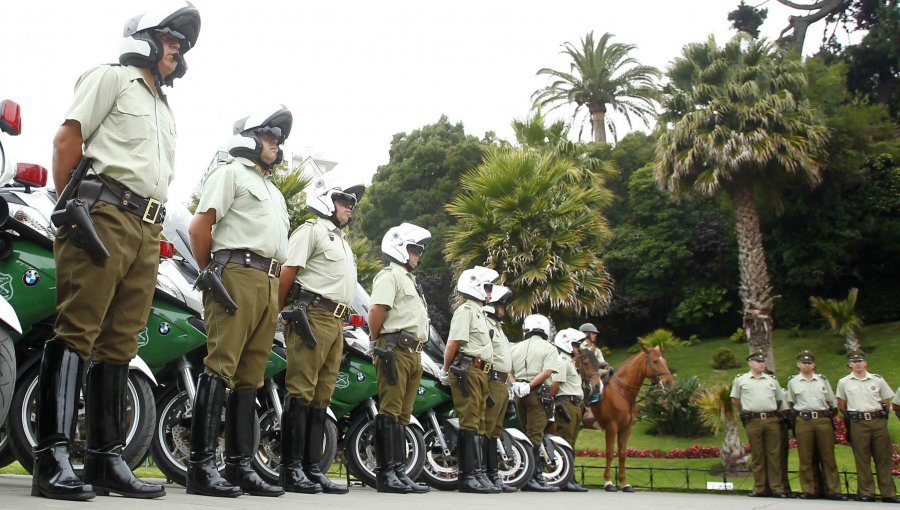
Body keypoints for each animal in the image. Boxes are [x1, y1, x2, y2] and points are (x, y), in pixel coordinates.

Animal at [576, 344, 676, 492]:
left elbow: (622, 453)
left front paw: (624, 483)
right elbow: (610, 452)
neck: (622, 392)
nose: (669, 383)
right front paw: (608, 482)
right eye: (655, 361)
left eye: (665, 361)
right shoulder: (611, 427)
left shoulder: (626, 428)